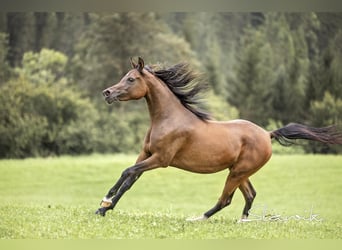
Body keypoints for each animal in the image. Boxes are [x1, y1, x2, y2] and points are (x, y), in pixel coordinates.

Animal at [96, 56, 342, 221]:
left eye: (131, 79)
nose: (107, 93)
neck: (169, 119)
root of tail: (267, 134)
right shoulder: (145, 154)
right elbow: (129, 180)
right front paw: (103, 209)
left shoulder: (160, 159)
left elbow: (126, 172)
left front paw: (105, 200)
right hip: (240, 172)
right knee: (250, 195)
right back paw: (242, 222)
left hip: (238, 172)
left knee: (226, 199)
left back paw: (198, 218)